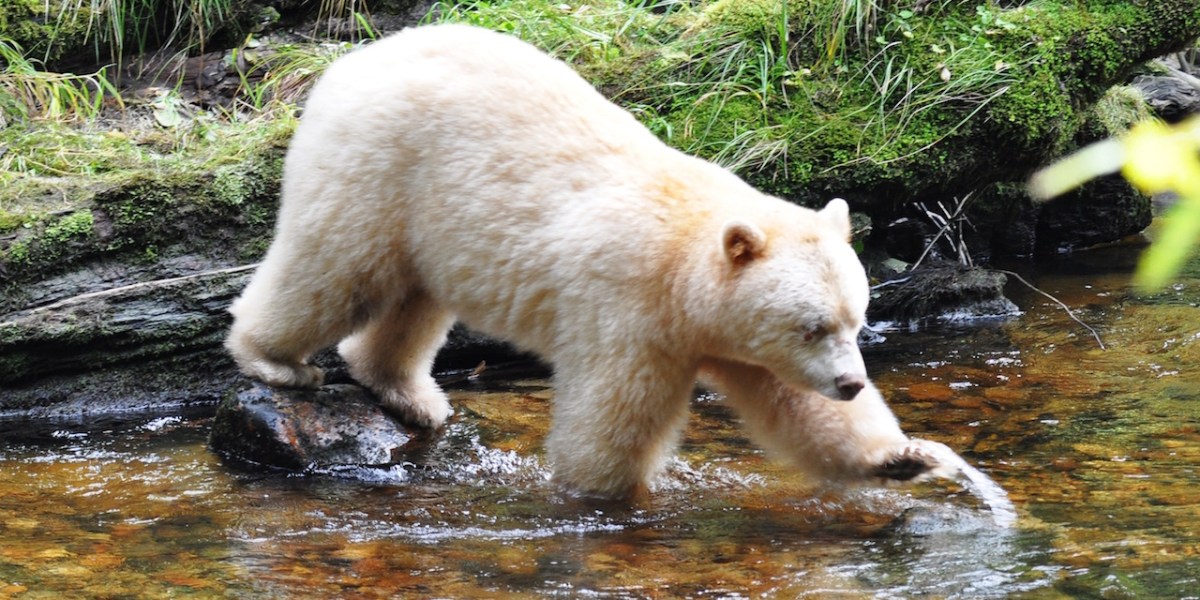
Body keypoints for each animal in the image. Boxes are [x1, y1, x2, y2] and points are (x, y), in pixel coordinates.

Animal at [226, 24, 955, 498]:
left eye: (856, 321)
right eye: (812, 326)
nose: (853, 382)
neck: (686, 256)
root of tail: (350, 62)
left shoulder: (728, 333)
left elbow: (795, 406)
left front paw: (903, 457)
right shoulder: (632, 306)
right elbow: (615, 414)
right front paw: (604, 497)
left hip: (428, 213)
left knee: (414, 299)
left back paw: (410, 393)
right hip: (380, 166)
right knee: (336, 268)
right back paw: (276, 360)